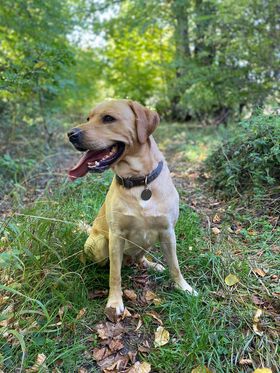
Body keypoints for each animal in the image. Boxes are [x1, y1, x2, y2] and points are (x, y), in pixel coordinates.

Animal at [68, 99, 197, 316]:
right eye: (88, 118)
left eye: (108, 118)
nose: (71, 134)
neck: (139, 182)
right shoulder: (116, 236)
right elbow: (115, 274)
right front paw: (114, 302)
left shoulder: (168, 231)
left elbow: (175, 266)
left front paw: (184, 287)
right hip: (99, 243)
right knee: (103, 262)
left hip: (149, 242)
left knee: (139, 259)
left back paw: (151, 264)